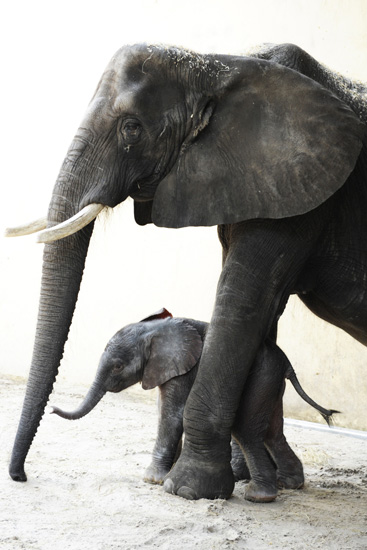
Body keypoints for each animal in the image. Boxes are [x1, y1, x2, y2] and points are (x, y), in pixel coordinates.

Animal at [51, 310, 336, 504]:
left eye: (118, 366)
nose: (52, 409)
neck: (154, 330)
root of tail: (286, 361)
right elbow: (164, 411)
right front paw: (165, 474)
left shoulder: (182, 368)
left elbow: (172, 415)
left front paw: (152, 479)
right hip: (271, 380)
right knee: (273, 432)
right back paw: (290, 483)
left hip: (262, 376)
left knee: (246, 431)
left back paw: (259, 495)